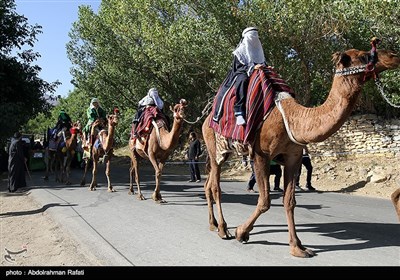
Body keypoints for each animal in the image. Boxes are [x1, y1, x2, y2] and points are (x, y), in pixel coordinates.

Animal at [203, 46, 400, 258]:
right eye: (363, 56)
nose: (393, 56)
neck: (293, 118)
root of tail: (205, 120)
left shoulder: (293, 157)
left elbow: (289, 201)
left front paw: (298, 247)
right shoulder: (261, 155)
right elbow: (265, 201)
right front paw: (241, 232)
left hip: (225, 152)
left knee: (208, 184)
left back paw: (213, 224)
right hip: (214, 147)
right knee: (215, 186)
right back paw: (223, 229)